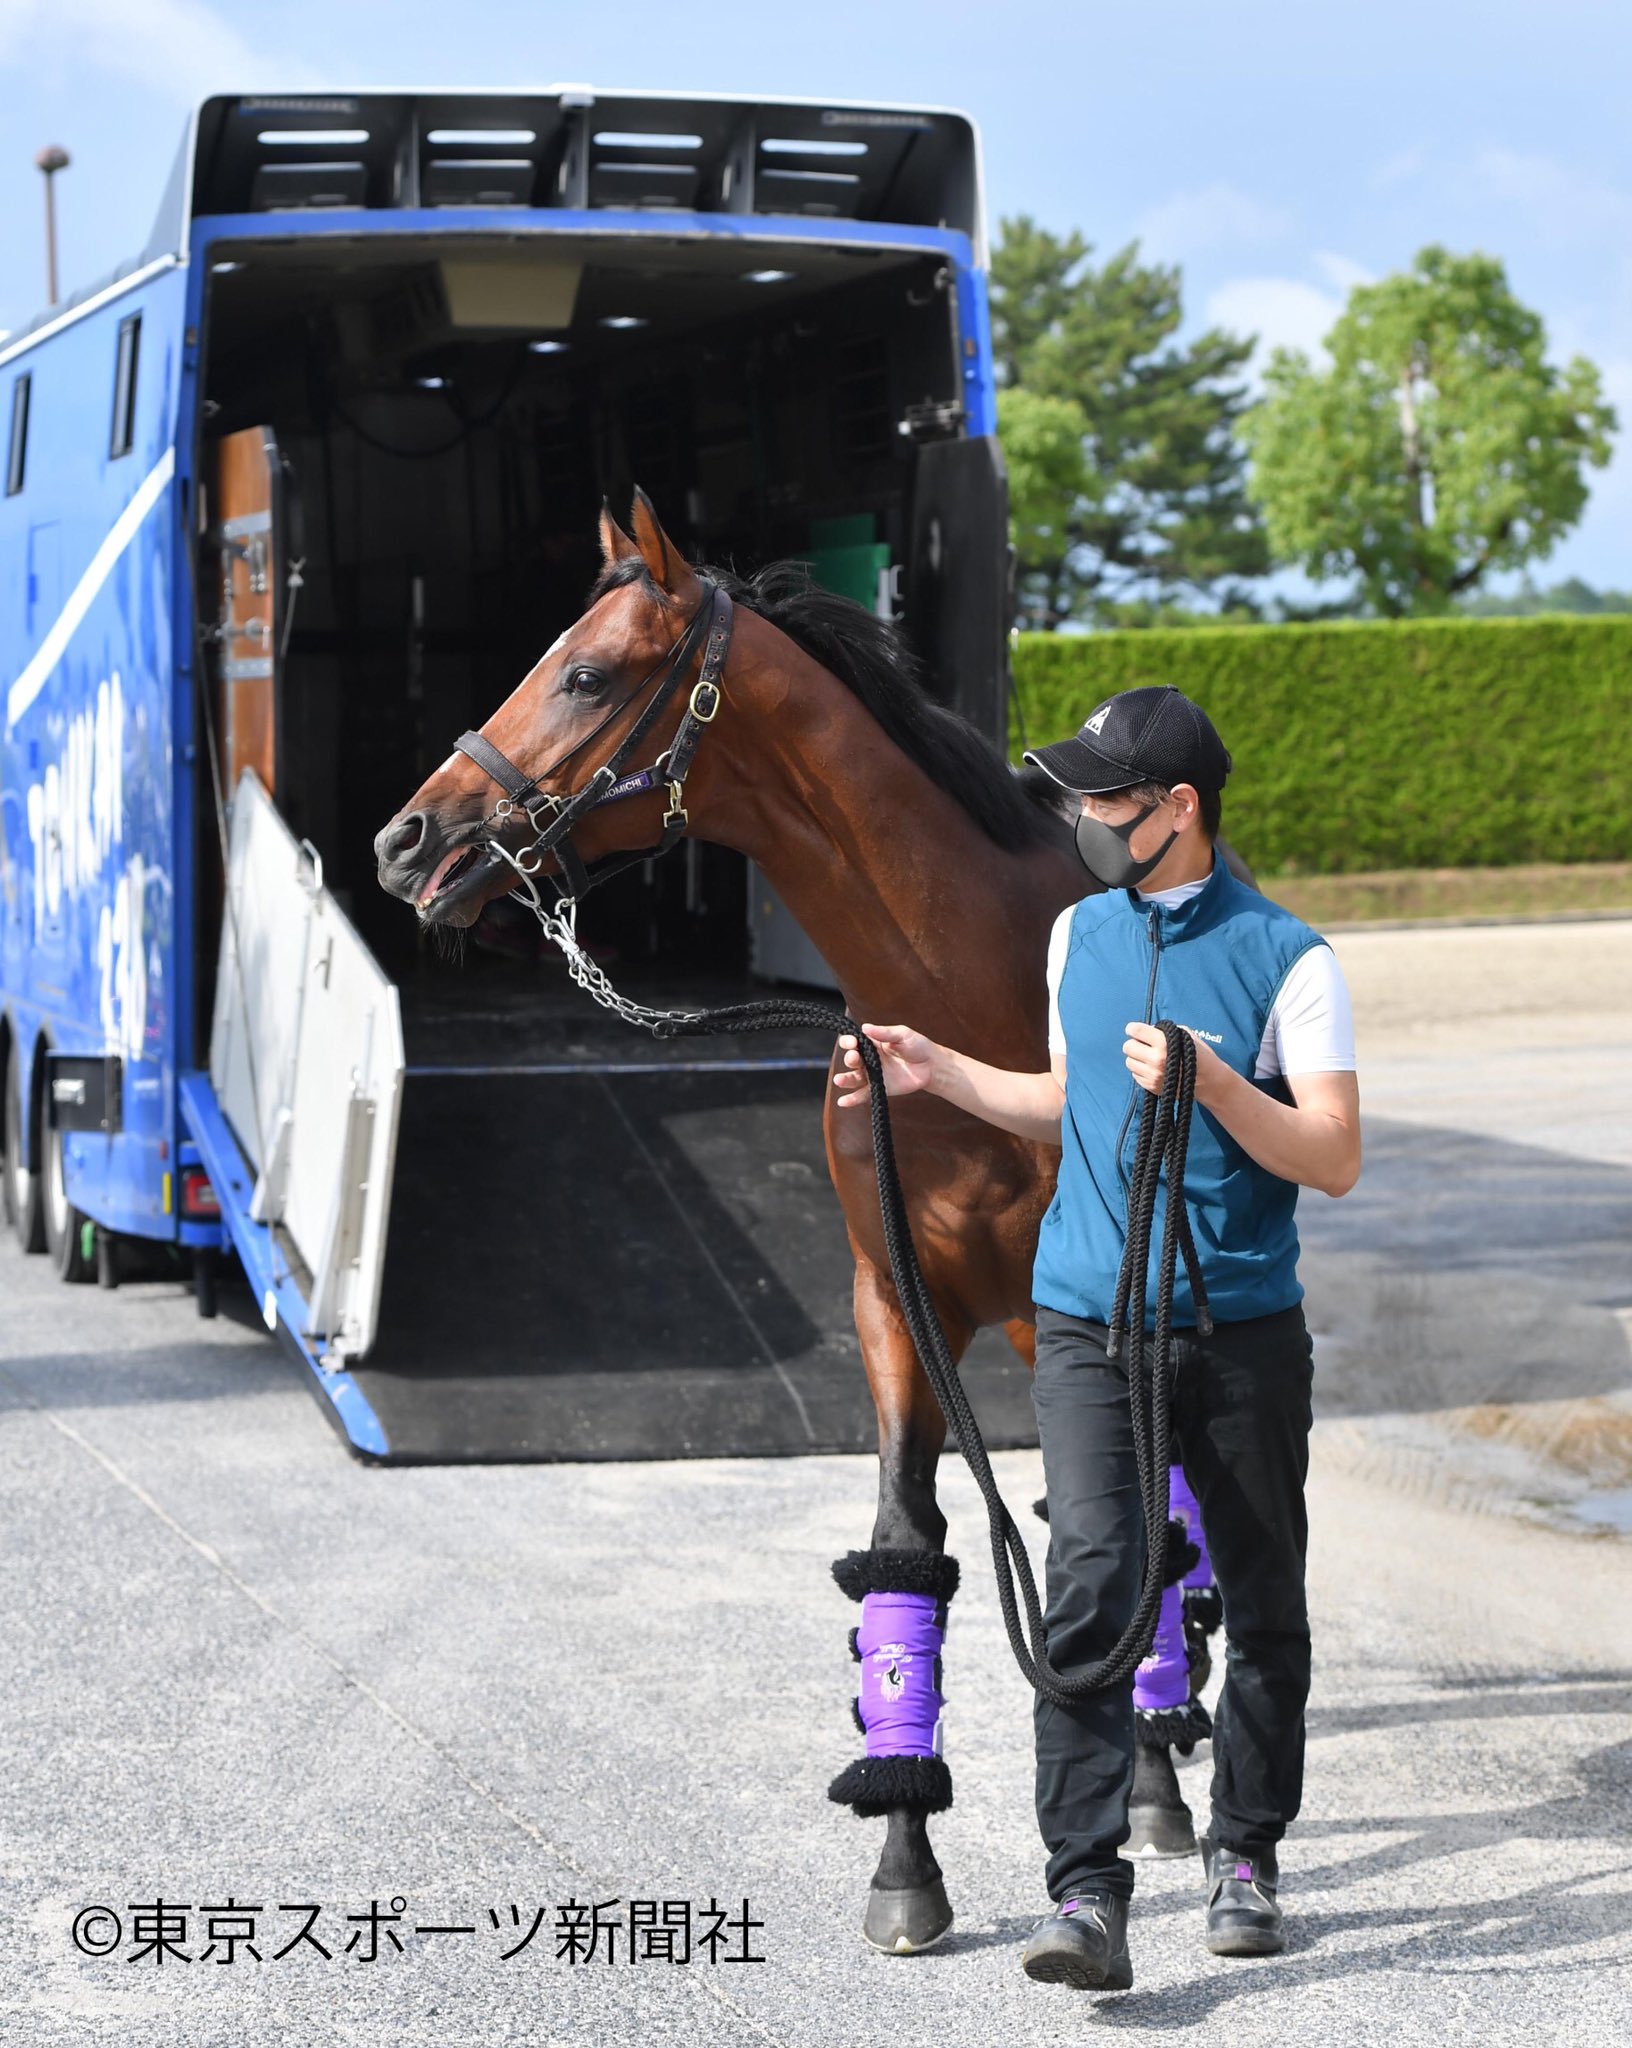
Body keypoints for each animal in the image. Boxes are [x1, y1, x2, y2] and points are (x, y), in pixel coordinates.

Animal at [368, 491, 1138, 1949]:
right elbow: (907, 1552)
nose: (407, 843)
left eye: (588, 674)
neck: (982, 1007)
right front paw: (904, 1862)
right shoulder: (895, 1303)